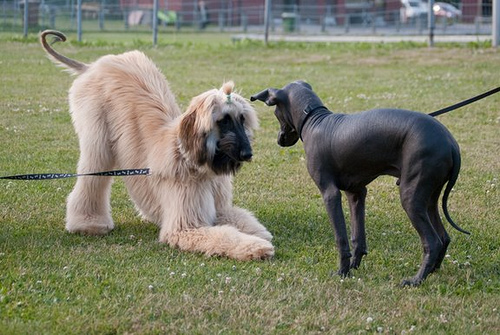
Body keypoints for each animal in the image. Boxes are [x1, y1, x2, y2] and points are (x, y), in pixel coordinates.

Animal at [40, 30, 274, 262]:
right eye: (223, 120)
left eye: (242, 119)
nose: (248, 153)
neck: (193, 161)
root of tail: (92, 66)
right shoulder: (185, 220)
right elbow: (221, 235)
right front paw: (255, 247)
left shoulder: (219, 207)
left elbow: (240, 219)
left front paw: (258, 233)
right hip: (97, 133)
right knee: (93, 173)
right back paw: (88, 222)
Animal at [252, 80, 470, 286]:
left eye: (275, 113)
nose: (280, 140)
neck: (315, 120)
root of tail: (451, 143)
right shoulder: (356, 193)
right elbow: (358, 237)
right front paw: (353, 268)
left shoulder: (330, 194)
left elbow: (341, 237)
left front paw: (342, 272)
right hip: (429, 198)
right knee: (444, 237)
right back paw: (432, 271)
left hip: (411, 197)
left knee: (432, 242)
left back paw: (416, 280)